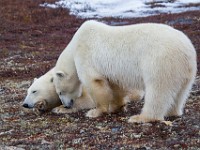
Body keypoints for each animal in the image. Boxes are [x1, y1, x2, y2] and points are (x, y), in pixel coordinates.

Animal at [52, 20, 195, 123]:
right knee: (180, 93)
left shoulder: (86, 55)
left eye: (60, 92)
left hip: (160, 62)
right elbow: (115, 85)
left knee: (157, 91)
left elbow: (94, 82)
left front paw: (95, 111)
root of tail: (187, 50)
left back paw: (141, 118)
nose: (66, 105)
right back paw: (173, 112)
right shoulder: (111, 71)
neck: (74, 46)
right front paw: (117, 106)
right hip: (185, 72)